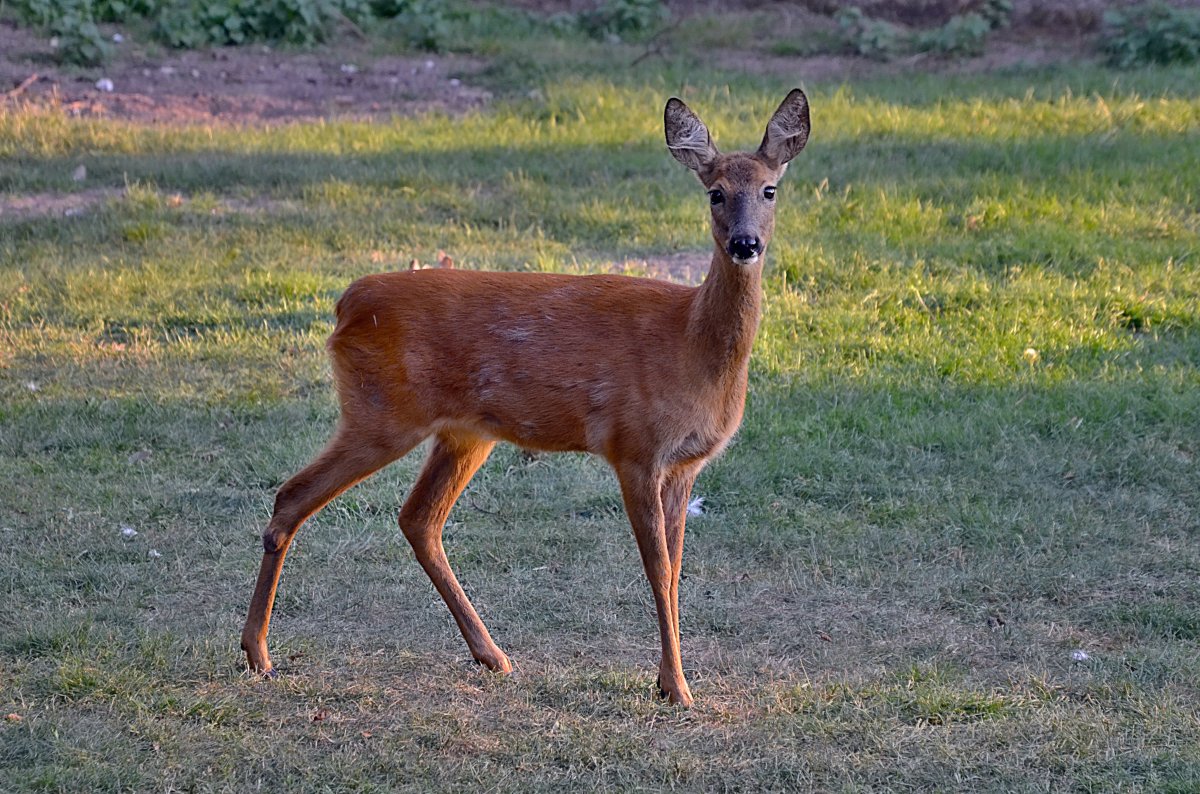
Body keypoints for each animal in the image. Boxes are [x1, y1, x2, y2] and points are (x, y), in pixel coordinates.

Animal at [238, 88, 811, 710]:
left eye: (770, 189)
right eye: (715, 191)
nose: (745, 243)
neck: (689, 344)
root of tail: (346, 304)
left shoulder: (684, 464)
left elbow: (676, 569)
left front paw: (669, 680)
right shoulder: (633, 447)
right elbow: (658, 568)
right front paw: (677, 686)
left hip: (464, 433)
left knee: (418, 518)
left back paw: (492, 654)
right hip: (381, 411)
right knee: (293, 496)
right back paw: (258, 654)